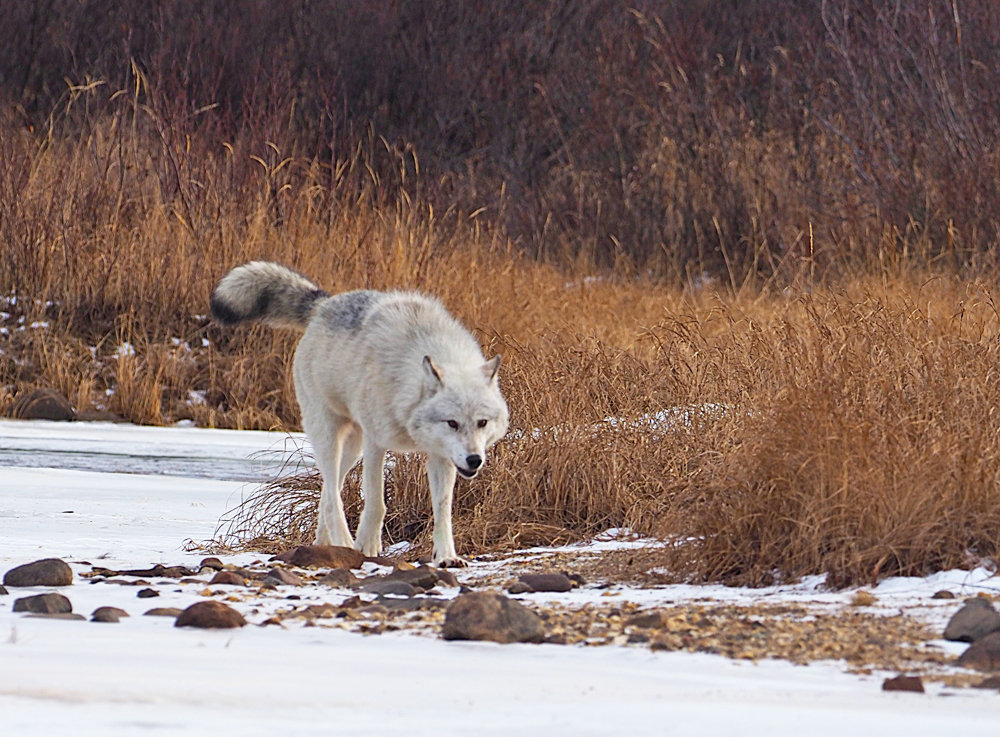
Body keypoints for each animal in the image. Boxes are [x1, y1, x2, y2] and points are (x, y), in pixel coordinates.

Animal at [209, 262, 508, 568]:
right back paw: (343, 543)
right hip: (331, 436)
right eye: (452, 423)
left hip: (352, 448)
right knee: (332, 496)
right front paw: (368, 546)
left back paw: (322, 545)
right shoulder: (376, 441)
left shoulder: (441, 456)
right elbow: (377, 502)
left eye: (482, 423)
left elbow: (443, 509)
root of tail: (324, 304)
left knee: (326, 494)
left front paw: (447, 556)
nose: (474, 460)